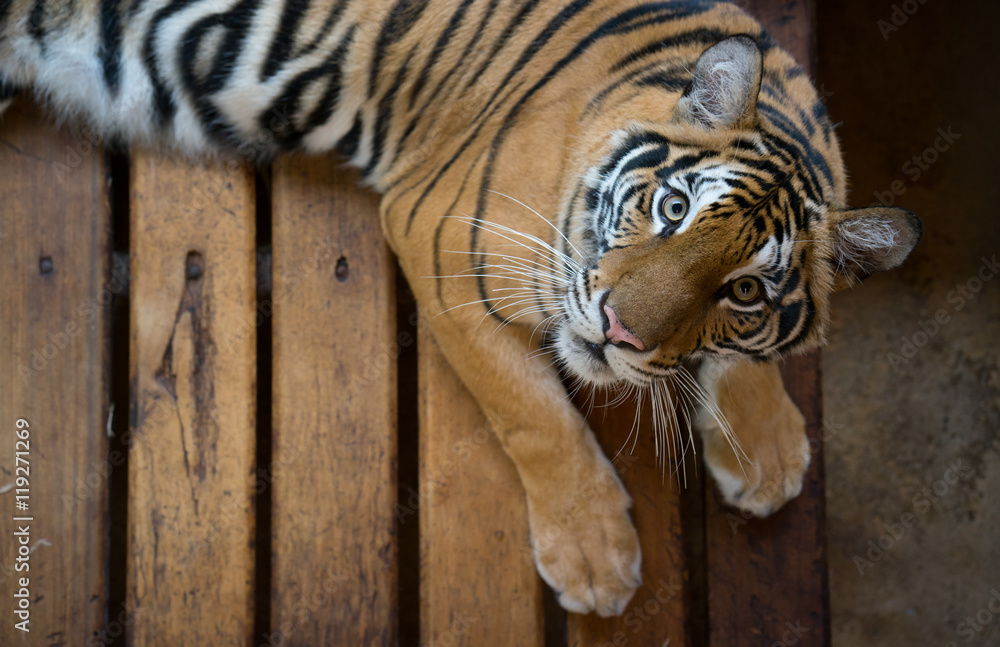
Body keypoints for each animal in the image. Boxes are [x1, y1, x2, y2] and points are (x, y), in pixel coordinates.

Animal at [0, 0, 920, 616]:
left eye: (746, 289)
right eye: (672, 208)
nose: (619, 329)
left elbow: (738, 358)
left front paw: (768, 450)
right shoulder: (441, 237)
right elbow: (533, 412)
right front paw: (595, 556)